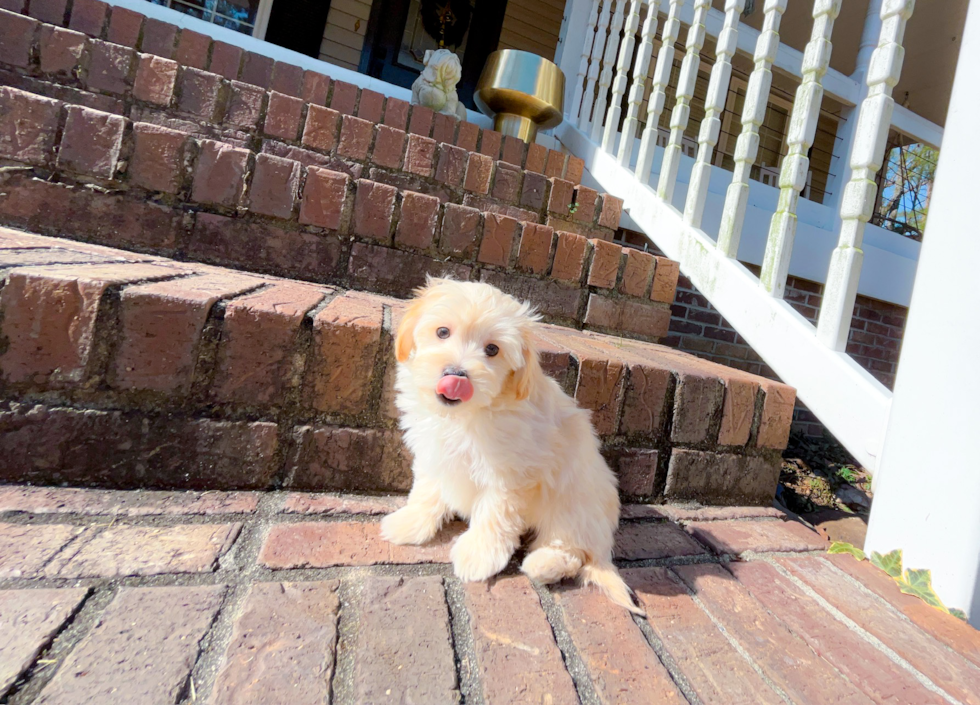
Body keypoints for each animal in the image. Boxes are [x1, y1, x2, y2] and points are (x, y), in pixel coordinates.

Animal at [378, 278, 640, 612]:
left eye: (492, 349)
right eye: (442, 332)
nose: (456, 375)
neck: (466, 414)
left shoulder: (511, 472)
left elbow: (495, 512)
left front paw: (478, 555)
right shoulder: (434, 451)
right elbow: (427, 488)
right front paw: (411, 522)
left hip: (574, 502)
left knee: (572, 550)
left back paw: (544, 563)